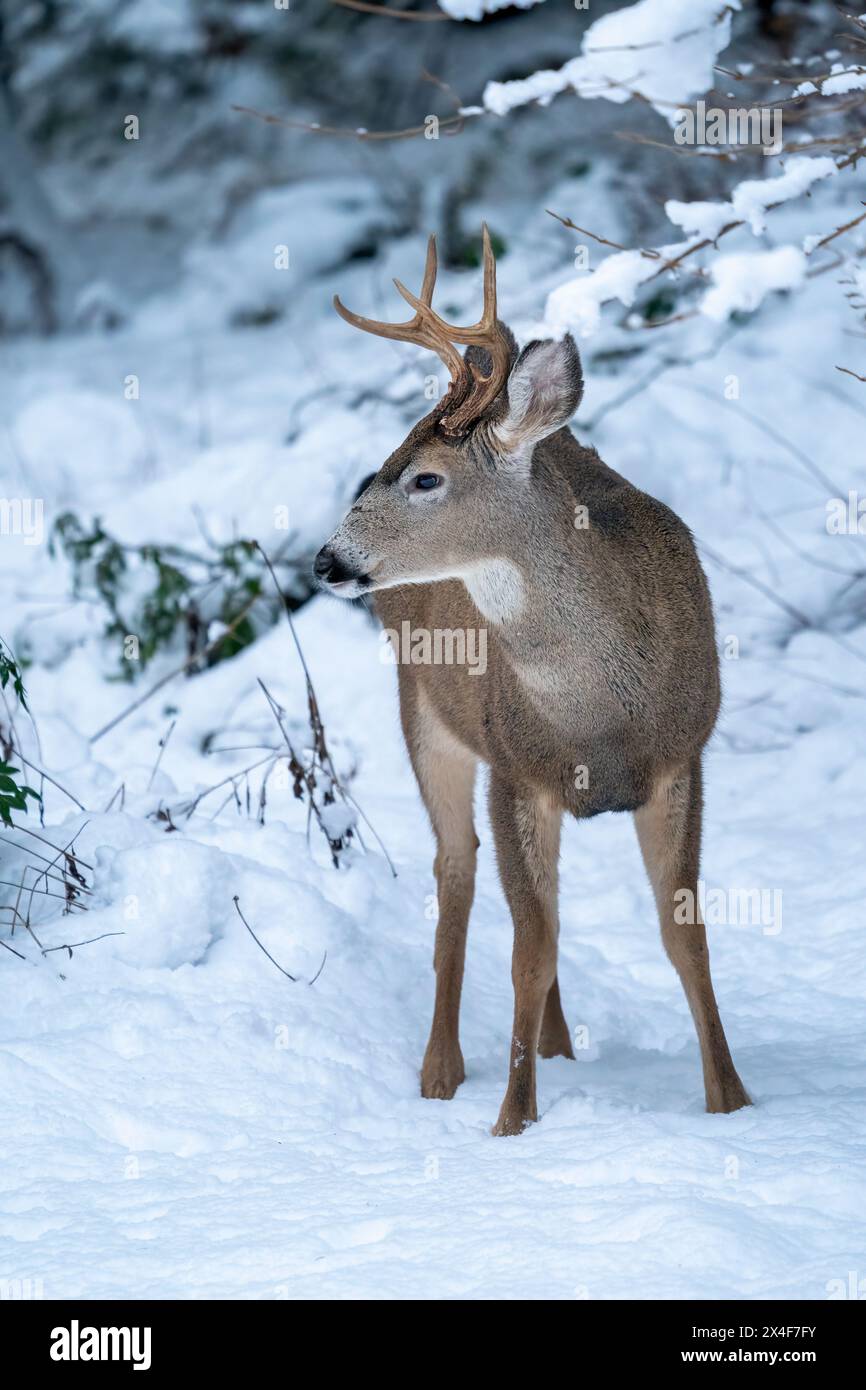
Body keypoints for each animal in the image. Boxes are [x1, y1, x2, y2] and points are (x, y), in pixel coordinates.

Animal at [312, 227, 750, 1134]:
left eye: (425, 477)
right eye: (387, 467)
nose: (325, 560)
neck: (604, 713)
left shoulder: (683, 760)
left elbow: (683, 935)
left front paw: (731, 1102)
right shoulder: (514, 767)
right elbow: (528, 950)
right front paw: (513, 1123)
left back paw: (555, 1047)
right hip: (426, 711)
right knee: (456, 870)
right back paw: (441, 1069)